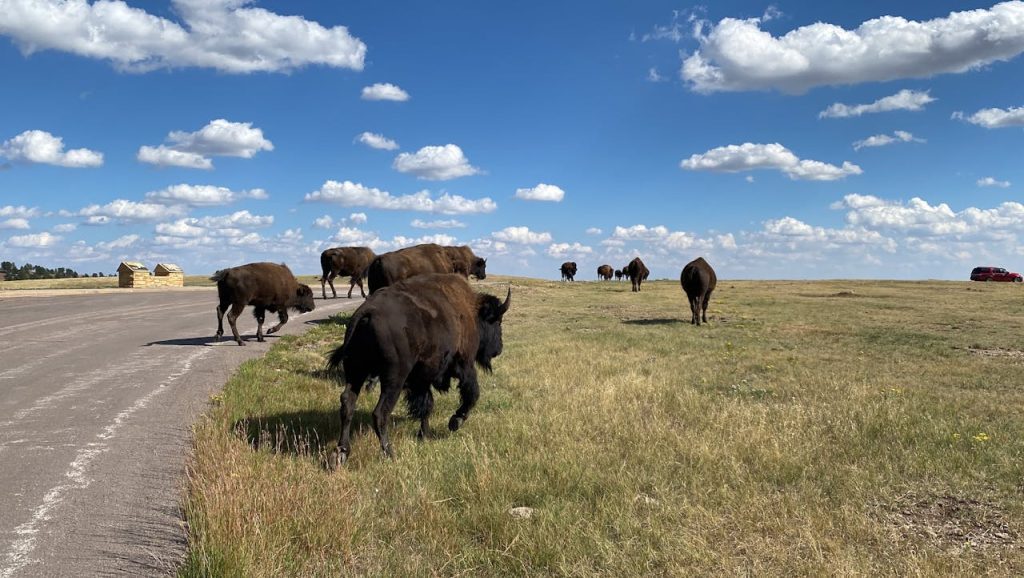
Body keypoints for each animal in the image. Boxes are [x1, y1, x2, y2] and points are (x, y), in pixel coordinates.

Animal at [327, 274, 511, 464]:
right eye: (497, 322)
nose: (499, 349)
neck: (471, 311)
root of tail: (367, 311)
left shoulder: (421, 380)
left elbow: (426, 406)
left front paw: (424, 435)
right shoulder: (464, 364)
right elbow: (472, 394)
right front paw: (455, 422)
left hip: (356, 371)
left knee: (347, 404)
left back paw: (341, 453)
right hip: (394, 379)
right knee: (380, 413)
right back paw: (390, 453)